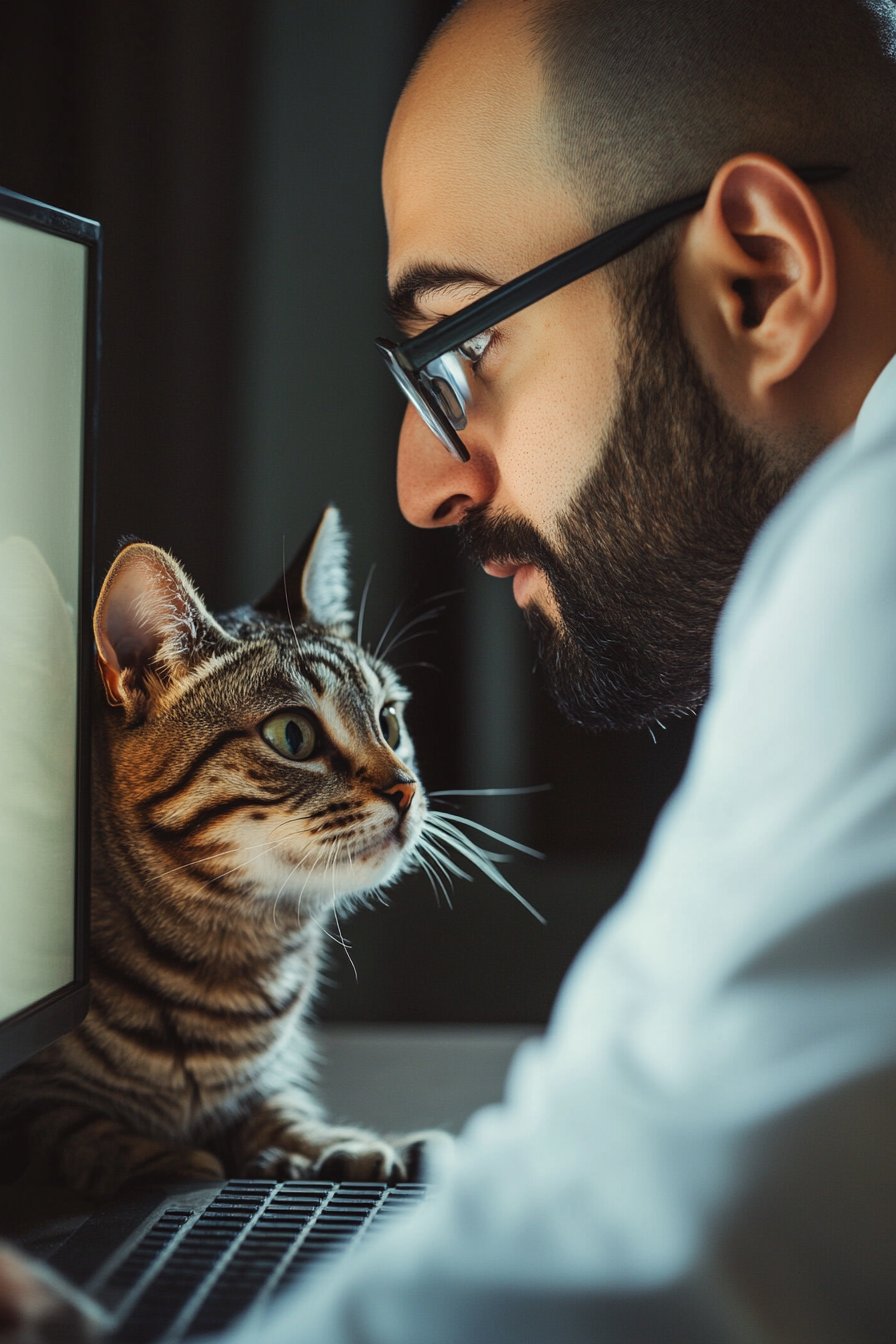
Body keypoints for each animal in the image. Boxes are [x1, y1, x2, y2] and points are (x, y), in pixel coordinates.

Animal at [1, 508, 462, 1193]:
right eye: (293, 736)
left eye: (390, 722)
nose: (408, 789)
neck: (235, 947)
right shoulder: (31, 1100)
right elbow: (65, 1126)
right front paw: (168, 1162)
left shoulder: (265, 1086)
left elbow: (281, 1109)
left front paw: (342, 1146)